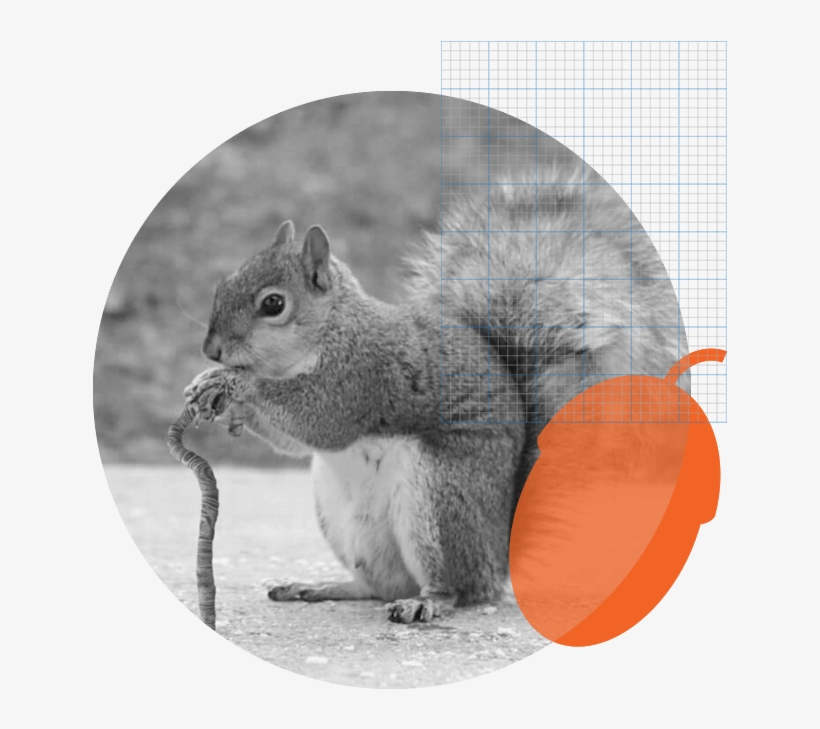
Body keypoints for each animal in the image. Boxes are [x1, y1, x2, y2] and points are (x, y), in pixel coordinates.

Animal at [184, 163, 689, 624]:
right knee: (378, 584)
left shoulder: (361, 376)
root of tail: (498, 557)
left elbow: (320, 422)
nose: (211, 350)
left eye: (273, 304)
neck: (327, 332)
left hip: (440, 498)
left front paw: (236, 385)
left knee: (454, 588)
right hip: (343, 516)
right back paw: (319, 586)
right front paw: (212, 390)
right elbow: (291, 441)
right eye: (224, 283)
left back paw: (426, 601)